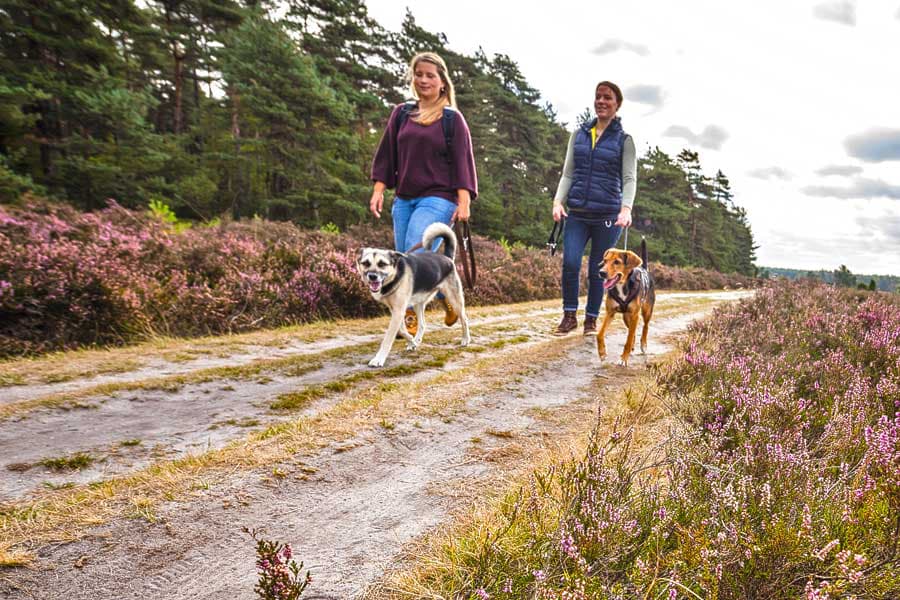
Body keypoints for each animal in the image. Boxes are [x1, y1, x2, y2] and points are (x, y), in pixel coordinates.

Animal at [356, 223, 474, 368]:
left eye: (382, 264)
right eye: (366, 263)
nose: (372, 276)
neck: (395, 275)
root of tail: (447, 258)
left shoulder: (399, 311)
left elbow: (389, 337)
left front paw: (379, 359)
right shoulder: (396, 310)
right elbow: (402, 330)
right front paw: (412, 342)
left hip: (454, 299)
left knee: (464, 319)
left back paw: (465, 339)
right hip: (419, 303)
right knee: (422, 324)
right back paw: (417, 340)